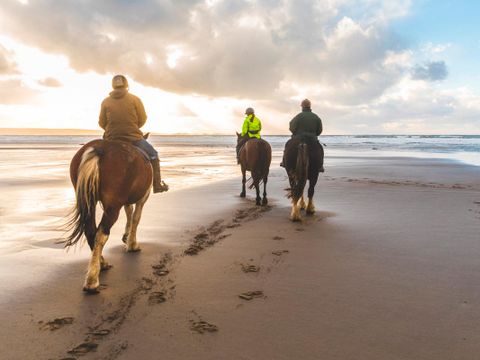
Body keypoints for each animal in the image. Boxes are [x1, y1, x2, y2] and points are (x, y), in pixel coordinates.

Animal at [64, 139, 153, 292]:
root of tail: (98, 148)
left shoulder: (127, 201)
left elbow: (129, 213)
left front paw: (126, 237)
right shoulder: (142, 198)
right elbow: (136, 218)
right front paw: (132, 244)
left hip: (90, 202)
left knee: (91, 232)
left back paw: (102, 263)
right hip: (112, 207)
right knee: (101, 234)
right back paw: (92, 280)